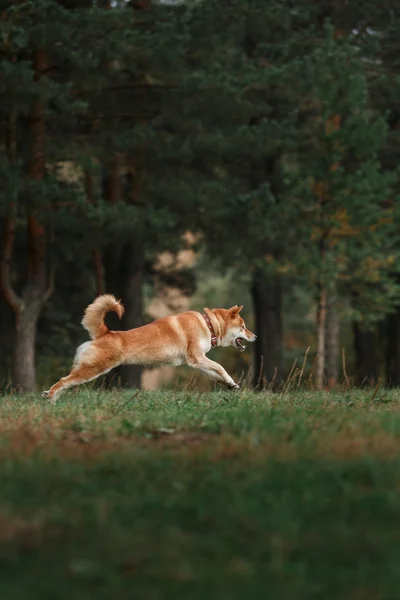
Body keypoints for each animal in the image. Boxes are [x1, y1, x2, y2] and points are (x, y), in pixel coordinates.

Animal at [41, 294, 256, 404]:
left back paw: (51, 400)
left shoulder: (197, 362)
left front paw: (231, 385)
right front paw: (229, 381)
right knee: (64, 381)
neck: (208, 324)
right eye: (244, 326)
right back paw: (51, 396)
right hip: (94, 369)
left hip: (87, 369)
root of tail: (105, 333)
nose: (255, 336)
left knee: (66, 382)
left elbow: (217, 374)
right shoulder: (197, 357)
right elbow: (220, 367)